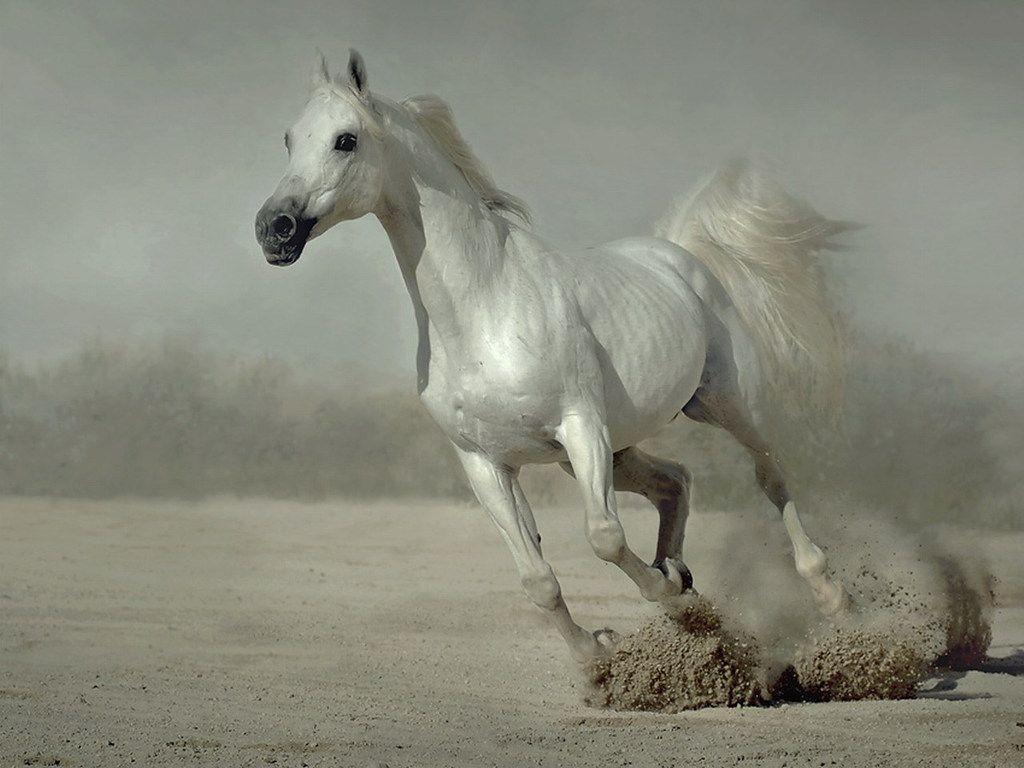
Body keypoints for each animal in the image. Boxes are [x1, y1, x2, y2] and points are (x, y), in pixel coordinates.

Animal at [255, 51, 853, 660]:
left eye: (345, 140)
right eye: (289, 139)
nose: (273, 229)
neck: (485, 310)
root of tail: (678, 254)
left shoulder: (581, 426)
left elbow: (604, 538)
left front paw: (662, 600)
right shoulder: (485, 463)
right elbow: (537, 579)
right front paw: (601, 652)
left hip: (725, 407)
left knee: (770, 476)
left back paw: (830, 597)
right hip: (611, 449)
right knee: (676, 480)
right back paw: (680, 576)